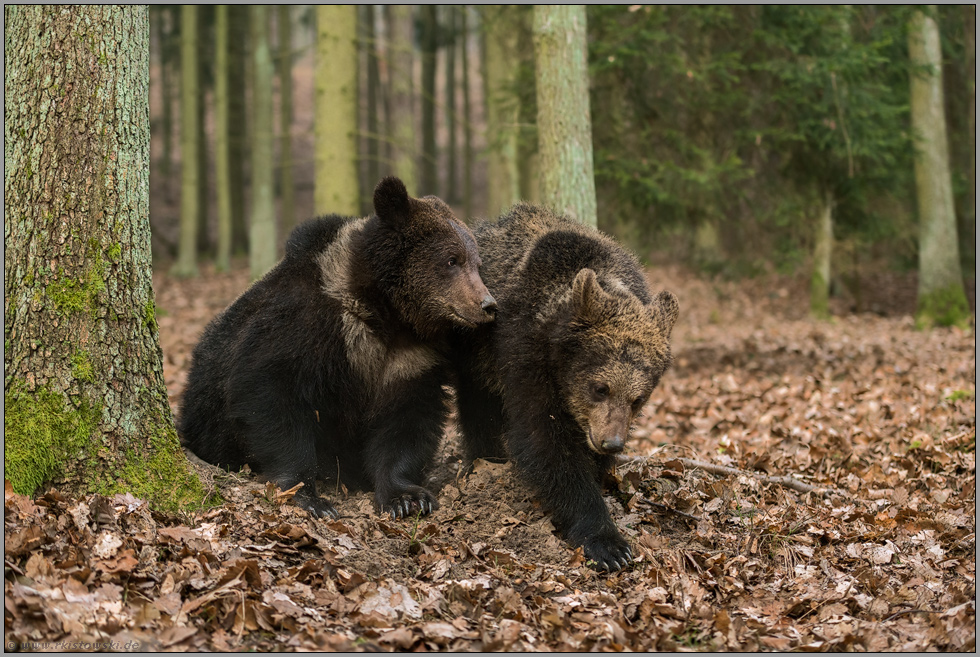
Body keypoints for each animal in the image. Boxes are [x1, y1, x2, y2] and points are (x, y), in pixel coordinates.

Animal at [178, 177, 498, 520]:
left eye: (477, 263)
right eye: (452, 260)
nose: (487, 305)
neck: (382, 314)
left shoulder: (411, 359)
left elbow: (408, 419)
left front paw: (407, 498)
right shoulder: (302, 328)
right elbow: (269, 393)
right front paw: (310, 497)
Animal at [454, 204, 676, 568]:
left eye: (638, 399)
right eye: (601, 387)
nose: (612, 443)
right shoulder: (525, 356)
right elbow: (546, 442)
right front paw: (608, 543)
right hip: (474, 346)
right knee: (478, 404)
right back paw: (483, 462)